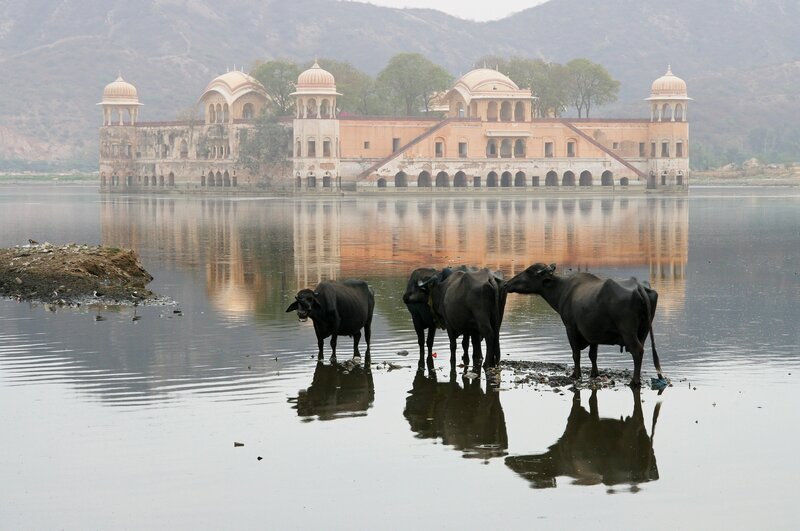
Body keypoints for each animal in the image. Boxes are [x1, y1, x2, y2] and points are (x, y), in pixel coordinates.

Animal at [504, 263, 663, 386]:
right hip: (644, 330)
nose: (507, 284)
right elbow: (593, 355)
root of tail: (638, 287)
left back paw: (634, 381)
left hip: (627, 330)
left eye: (529, 271)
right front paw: (594, 373)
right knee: (641, 350)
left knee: (637, 350)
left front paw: (576, 374)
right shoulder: (593, 332)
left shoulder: (570, 327)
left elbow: (576, 353)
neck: (562, 290)